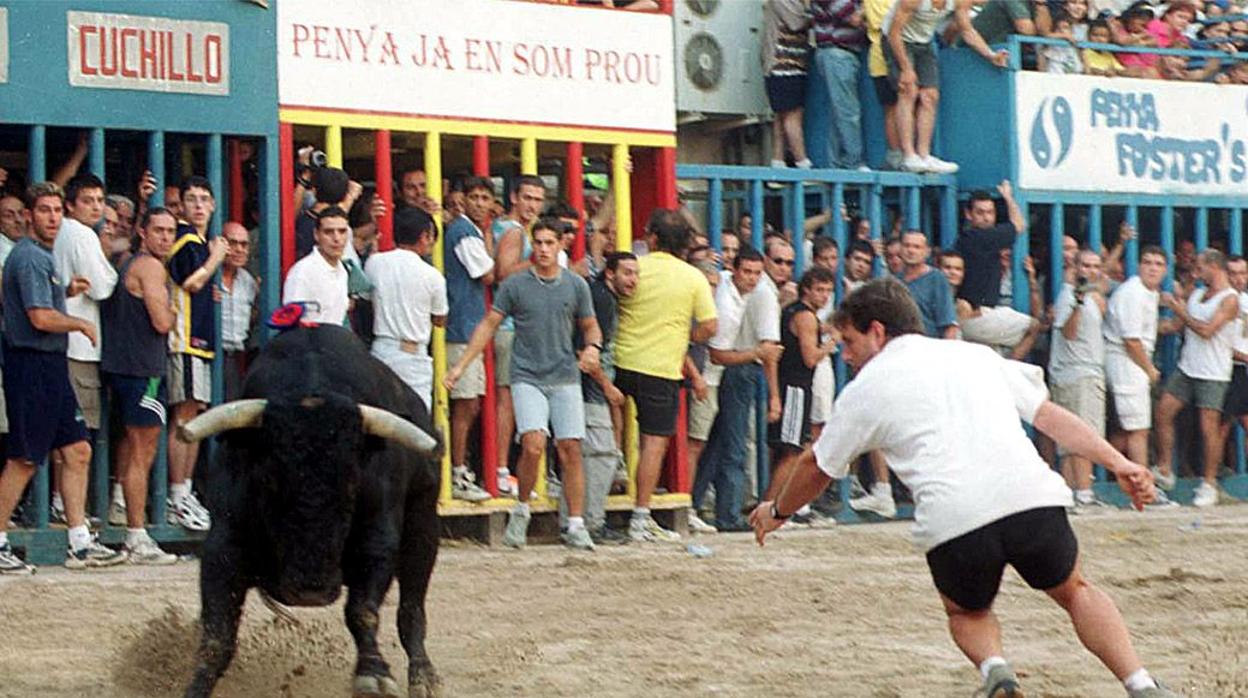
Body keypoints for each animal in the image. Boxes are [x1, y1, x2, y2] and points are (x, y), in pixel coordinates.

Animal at [182, 327, 439, 698]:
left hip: (424, 526)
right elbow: (218, 633)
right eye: (269, 479)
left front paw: (373, 674)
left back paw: (423, 677)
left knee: (412, 606)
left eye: (352, 482)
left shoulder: (377, 541)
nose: (310, 591)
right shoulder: (224, 546)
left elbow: (362, 611)